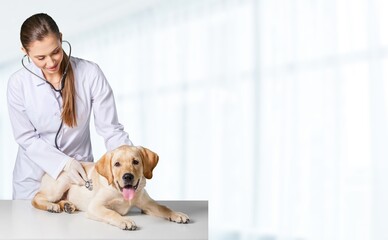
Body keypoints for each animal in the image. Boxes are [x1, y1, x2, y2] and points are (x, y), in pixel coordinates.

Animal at [31, 145, 189, 230]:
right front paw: (124, 221)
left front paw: (177, 214)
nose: (128, 176)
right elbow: (111, 213)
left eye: (136, 162)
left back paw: (67, 205)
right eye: (117, 164)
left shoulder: (146, 203)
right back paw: (52, 206)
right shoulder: (95, 206)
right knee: (36, 198)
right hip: (62, 183)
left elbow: (163, 207)